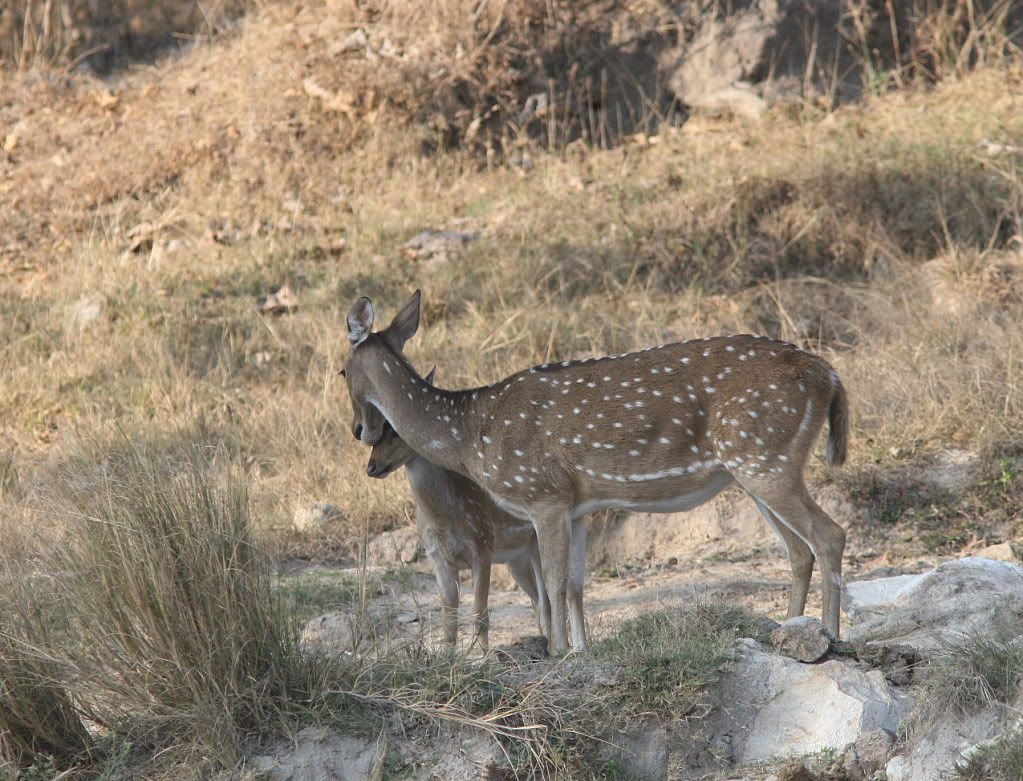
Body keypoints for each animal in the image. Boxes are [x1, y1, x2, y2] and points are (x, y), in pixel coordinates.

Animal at [364, 388, 548, 651]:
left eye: (397, 431)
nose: (371, 467)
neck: (443, 517)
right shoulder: (440, 558)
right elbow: (448, 621)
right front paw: (447, 656)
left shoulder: (482, 546)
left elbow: (480, 613)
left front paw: (483, 656)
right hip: (516, 559)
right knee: (536, 599)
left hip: (536, 546)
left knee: (549, 597)